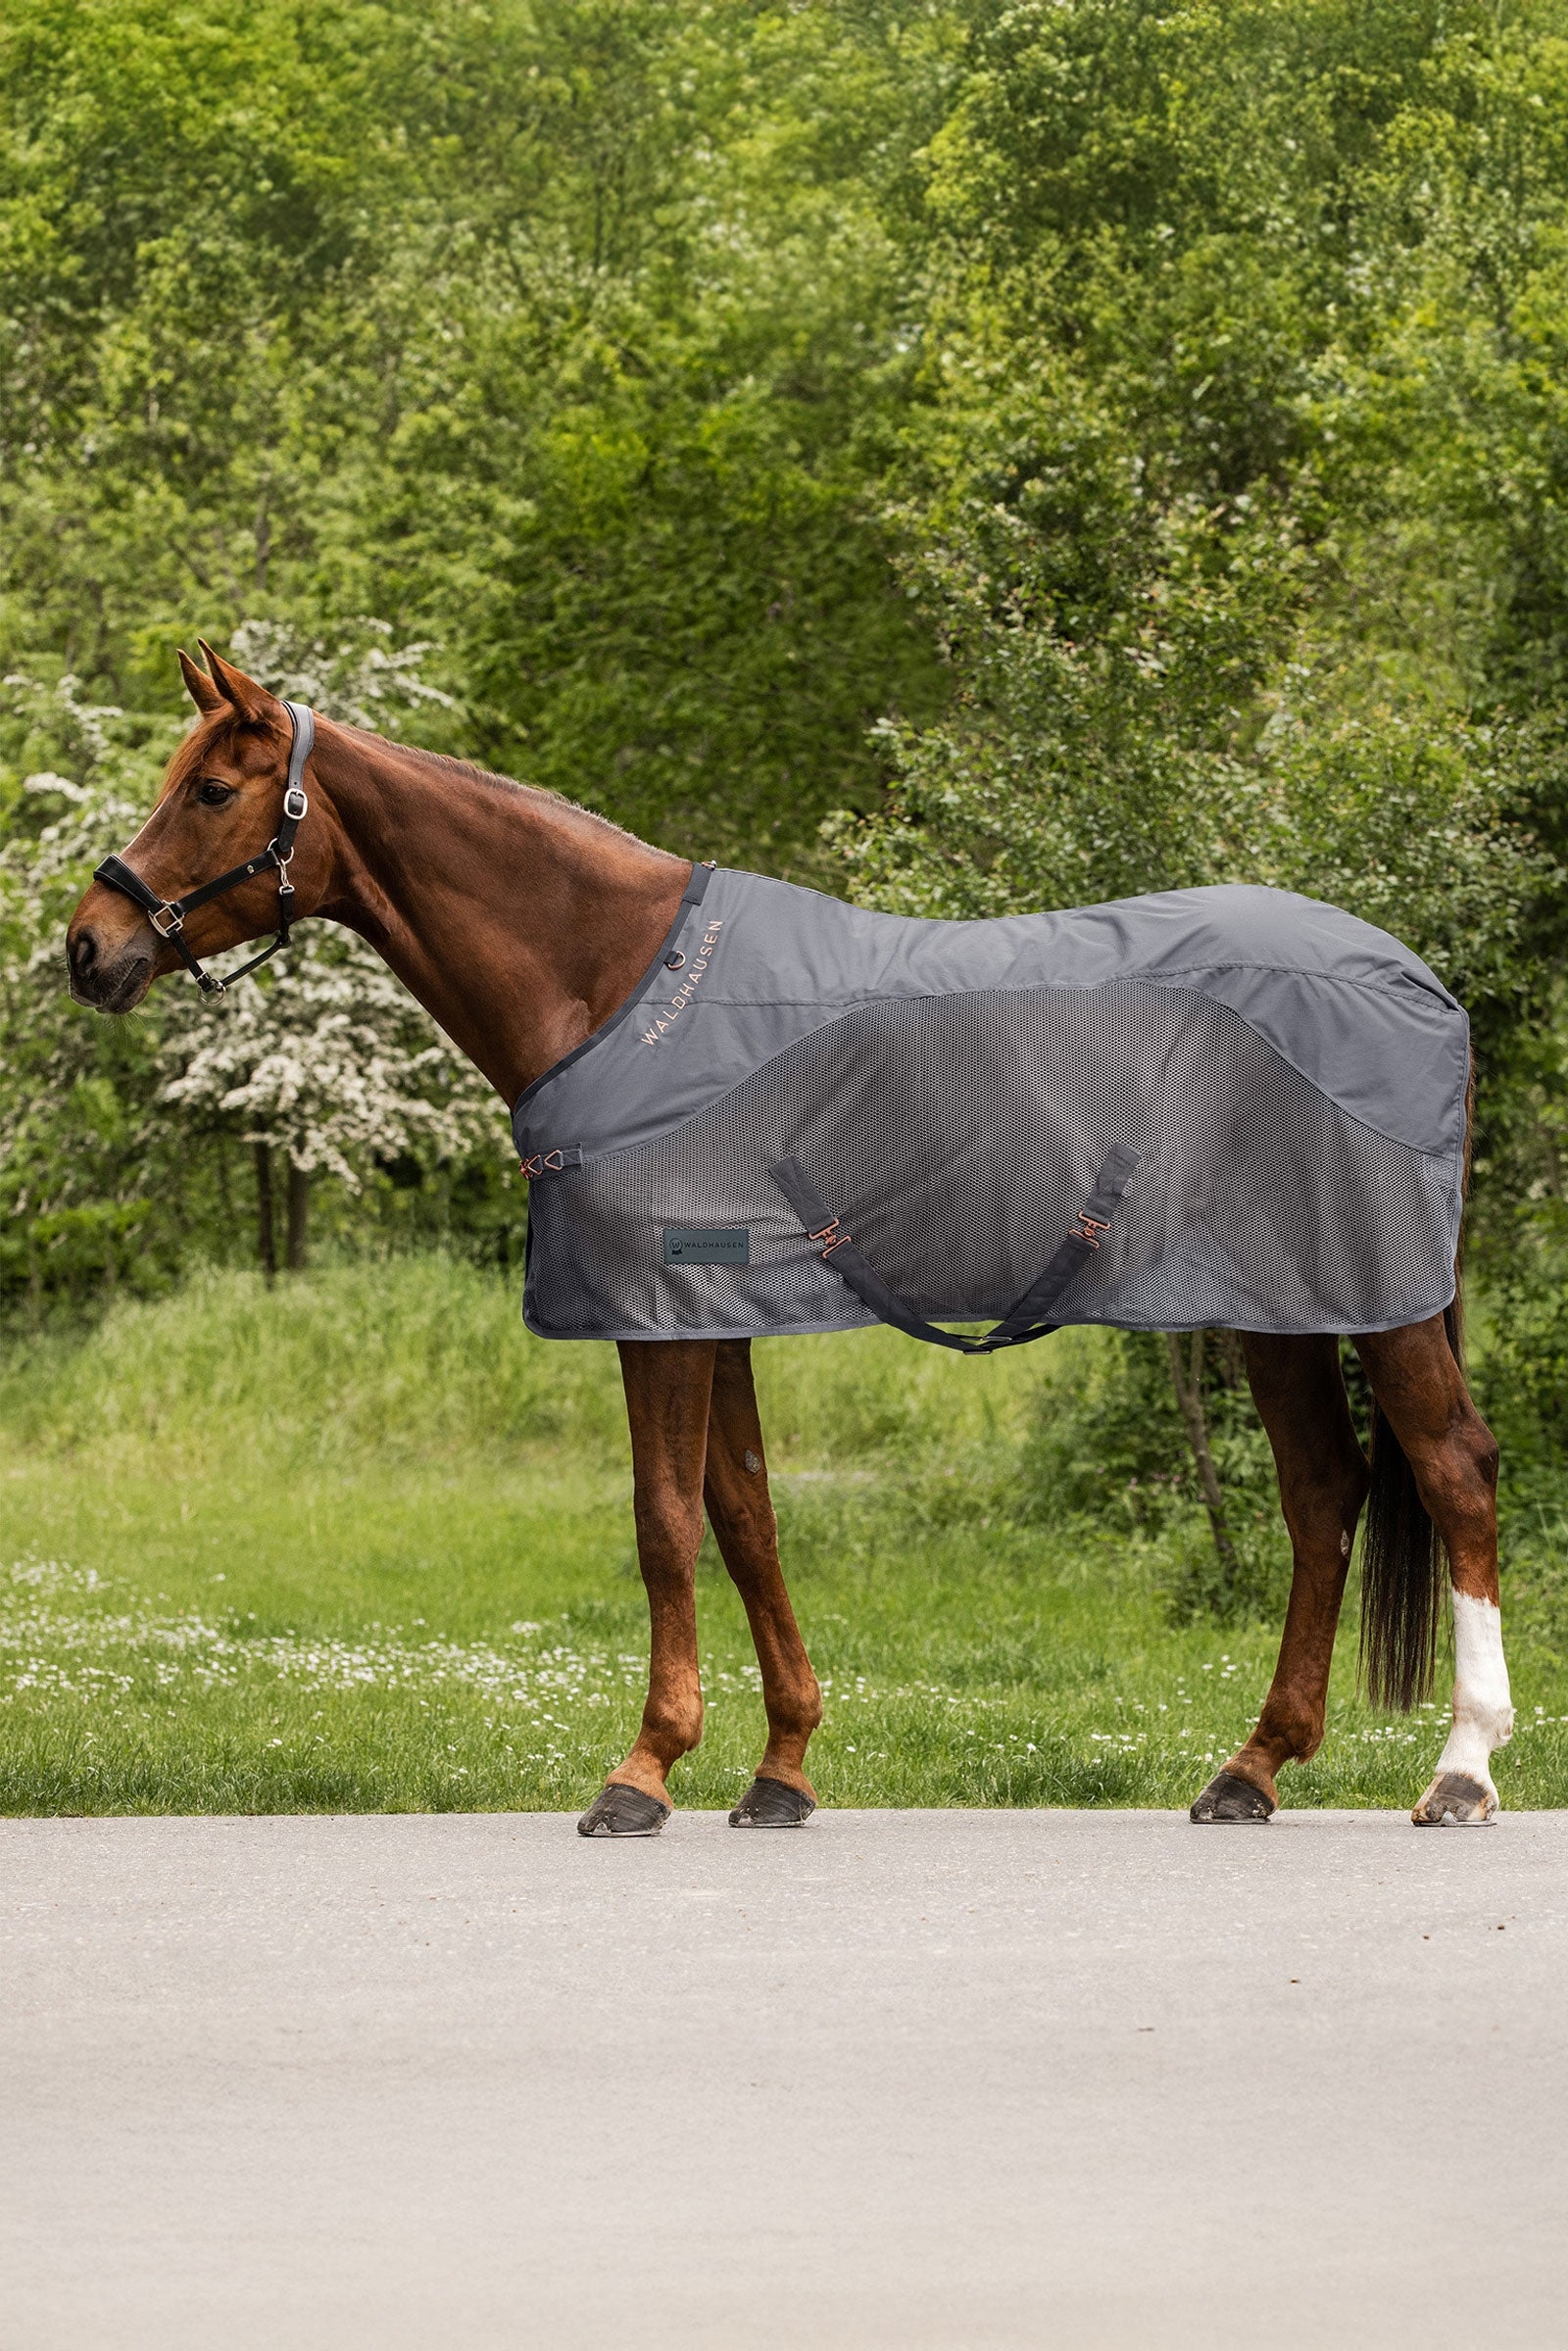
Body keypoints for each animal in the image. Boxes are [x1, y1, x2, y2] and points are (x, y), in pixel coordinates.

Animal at [65, 644, 1514, 1834]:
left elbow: (662, 1521)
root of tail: (1414, 978)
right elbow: (745, 1513)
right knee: (1325, 1491)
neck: (615, 982)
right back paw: (1250, 1768)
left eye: (211, 790)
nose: (89, 945)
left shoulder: (658, 1309)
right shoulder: (716, 1312)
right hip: (1280, 1305)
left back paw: (1461, 1769)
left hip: (1374, 1301)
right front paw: (781, 1767)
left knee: (1452, 1472)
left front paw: (643, 1770)